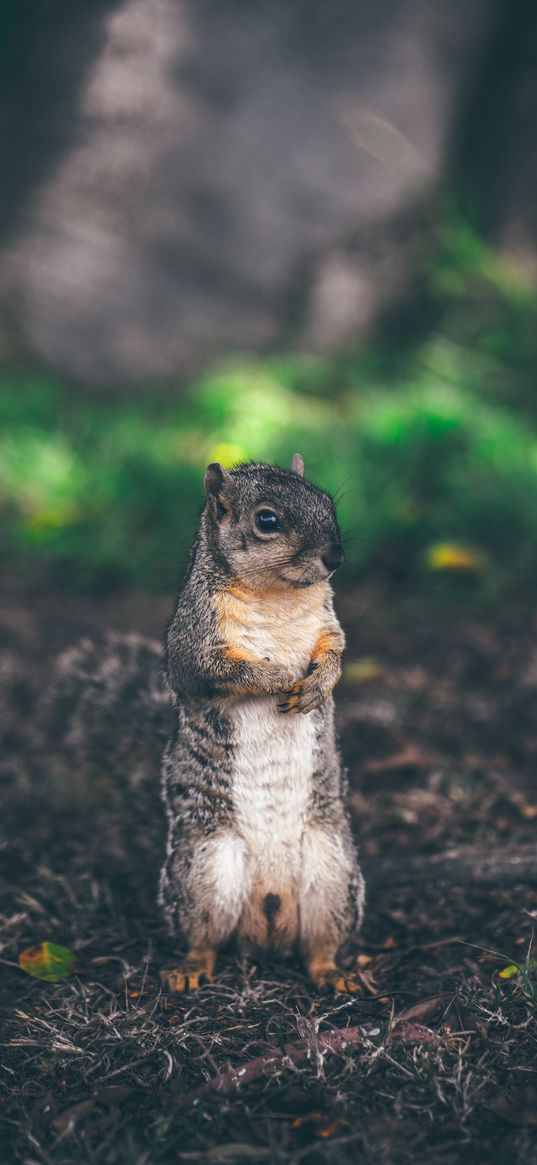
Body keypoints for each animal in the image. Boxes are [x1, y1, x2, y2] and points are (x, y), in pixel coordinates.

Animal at [37, 454, 363, 992]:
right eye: (267, 519)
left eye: (327, 500)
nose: (334, 557)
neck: (279, 594)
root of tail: (268, 921)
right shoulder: (195, 639)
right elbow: (219, 671)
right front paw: (277, 674)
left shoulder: (326, 622)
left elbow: (335, 651)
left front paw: (319, 683)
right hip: (205, 870)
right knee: (203, 936)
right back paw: (192, 969)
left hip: (332, 871)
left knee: (320, 943)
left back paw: (333, 972)